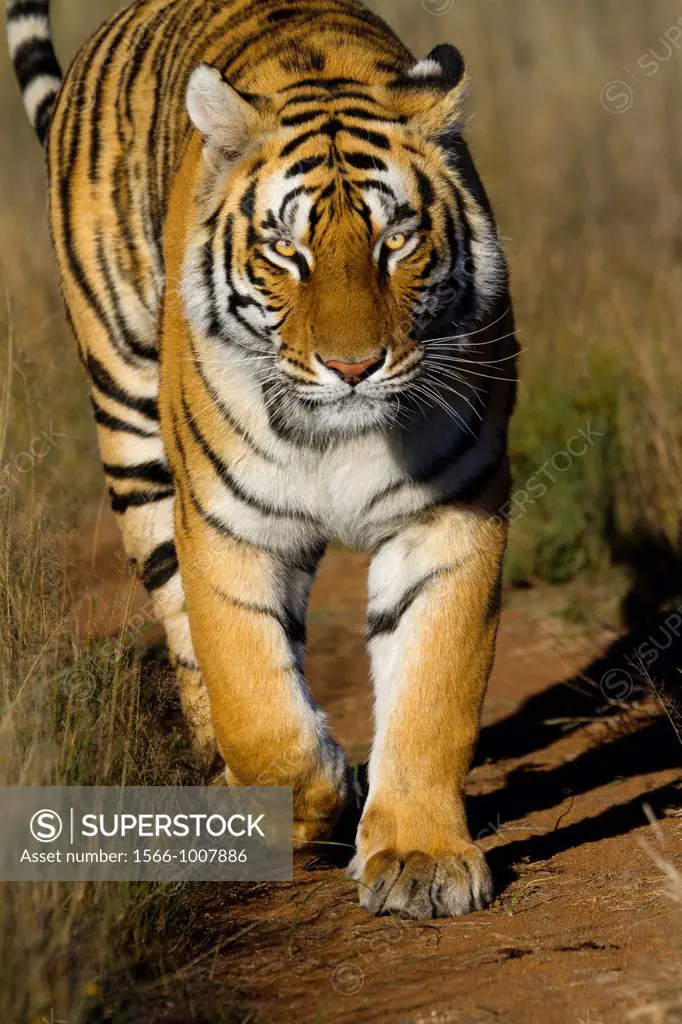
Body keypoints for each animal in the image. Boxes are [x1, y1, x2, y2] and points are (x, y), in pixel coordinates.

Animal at [6, 0, 516, 921]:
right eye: (286, 250)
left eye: (396, 241)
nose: (353, 366)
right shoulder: (227, 523)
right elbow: (257, 707)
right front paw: (308, 803)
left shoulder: (452, 511)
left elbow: (434, 694)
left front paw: (419, 858)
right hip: (130, 434)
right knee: (186, 640)